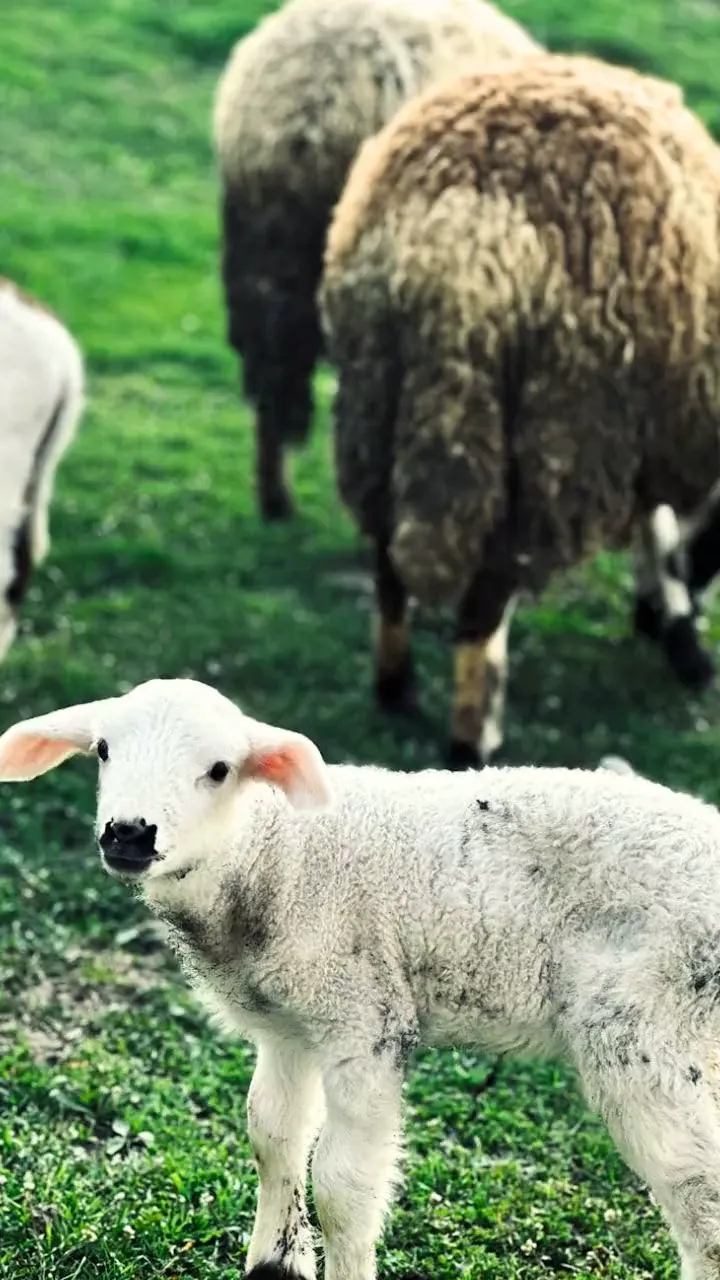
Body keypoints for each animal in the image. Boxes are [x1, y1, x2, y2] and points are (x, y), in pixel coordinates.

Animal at [5, 677, 720, 1278]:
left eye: (219, 770)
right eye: (102, 750)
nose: (129, 833)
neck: (274, 853)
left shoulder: (362, 1015)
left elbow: (343, 1186)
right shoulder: (286, 1025)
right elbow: (272, 1136)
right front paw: (275, 1264)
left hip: (644, 1027)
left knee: (698, 1188)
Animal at [319, 52, 720, 770]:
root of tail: (454, 245)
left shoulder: (646, 428)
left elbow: (653, 522)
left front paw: (664, 616)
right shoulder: (639, 429)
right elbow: (662, 524)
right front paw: (682, 635)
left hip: (378, 403)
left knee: (388, 559)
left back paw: (396, 687)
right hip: (553, 436)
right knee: (483, 601)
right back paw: (472, 741)